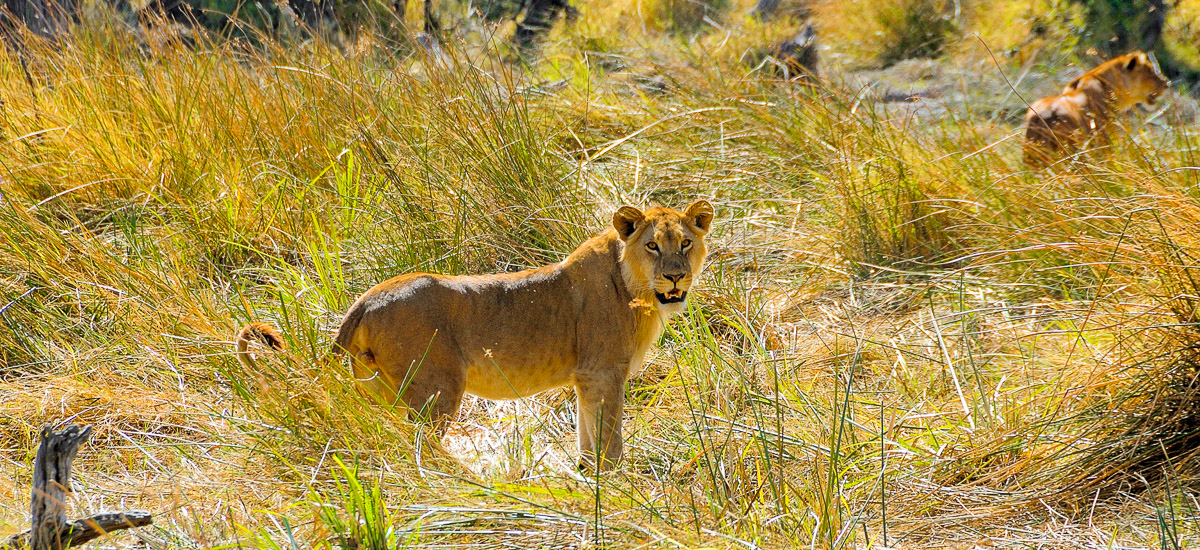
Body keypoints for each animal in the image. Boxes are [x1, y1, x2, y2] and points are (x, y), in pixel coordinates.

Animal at [238, 199, 715, 470]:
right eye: (653, 245)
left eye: (685, 243)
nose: (675, 276)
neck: (636, 288)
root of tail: (368, 297)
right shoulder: (604, 372)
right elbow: (610, 437)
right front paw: (616, 483)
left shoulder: (586, 378)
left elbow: (587, 433)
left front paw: (587, 475)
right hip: (437, 388)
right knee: (420, 445)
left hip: (374, 388)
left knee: (383, 435)